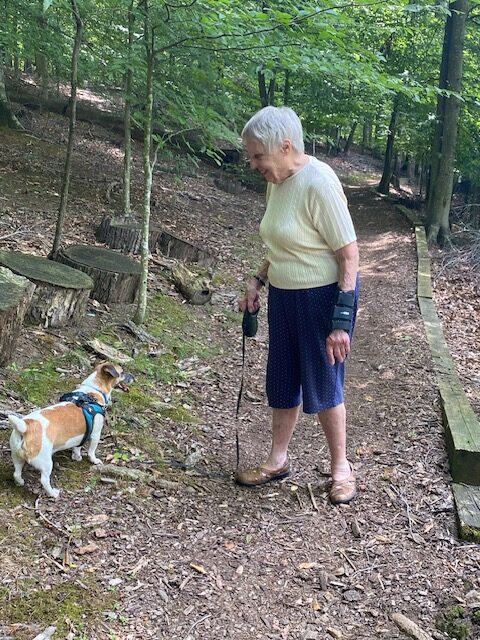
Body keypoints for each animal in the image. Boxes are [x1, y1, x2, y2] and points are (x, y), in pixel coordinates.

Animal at [8, 362, 133, 498]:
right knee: (44, 480)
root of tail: (25, 427)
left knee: (16, 472)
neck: (93, 391)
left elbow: (78, 446)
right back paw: (53, 493)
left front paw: (76, 456)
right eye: (121, 372)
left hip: (17, 456)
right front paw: (94, 460)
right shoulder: (95, 434)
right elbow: (92, 451)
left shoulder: (83, 433)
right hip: (46, 462)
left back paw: (20, 482)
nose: (133, 376)